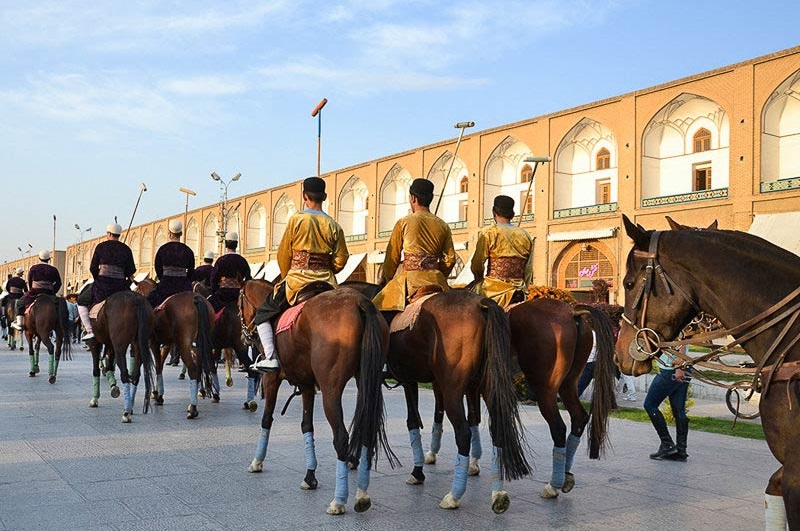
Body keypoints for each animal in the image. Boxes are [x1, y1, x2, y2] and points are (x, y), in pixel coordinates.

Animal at [88, 290, 155, 424]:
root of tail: (135, 299)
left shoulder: (95, 343)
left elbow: (96, 370)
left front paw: (95, 399)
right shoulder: (110, 344)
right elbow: (109, 365)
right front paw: (113, 386)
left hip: (120, 347)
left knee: (124, 373)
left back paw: (126, 413)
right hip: (138, 345)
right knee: (135, 375)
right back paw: (130, 407)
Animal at [148, 290, 217, 420]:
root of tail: (196, 298)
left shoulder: (154, 342)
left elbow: (158, 366)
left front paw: (157, 395)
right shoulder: (167, 343)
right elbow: (160, 364)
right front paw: (158, 394)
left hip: (184, 344)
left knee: (193, 369)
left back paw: (193, 408)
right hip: (199, 344)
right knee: (200, 368)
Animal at [239, 280, 398, 516]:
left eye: (238, 303)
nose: (244, 336)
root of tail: (360, 302)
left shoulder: (271, 379)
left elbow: (266, 419)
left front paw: (257, 461)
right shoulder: (306, 385)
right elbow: (307, 426)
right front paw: (310, 475)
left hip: (330, 390)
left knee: (341, 437)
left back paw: (339, 500)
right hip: (367, 380)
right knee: (367, 432)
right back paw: (361, 494)